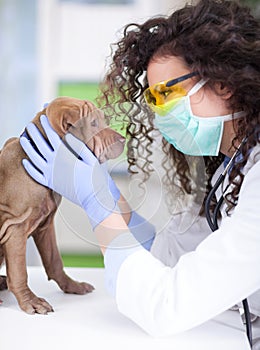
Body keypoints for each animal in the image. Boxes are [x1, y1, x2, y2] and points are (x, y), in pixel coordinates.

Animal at [0, 96, 125, 314]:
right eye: (94, 123)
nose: (123, 140)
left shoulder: (45, 225)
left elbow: (54, 260)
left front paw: (72, 285)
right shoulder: (15, 228)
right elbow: (19, 271)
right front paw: (30, 300)